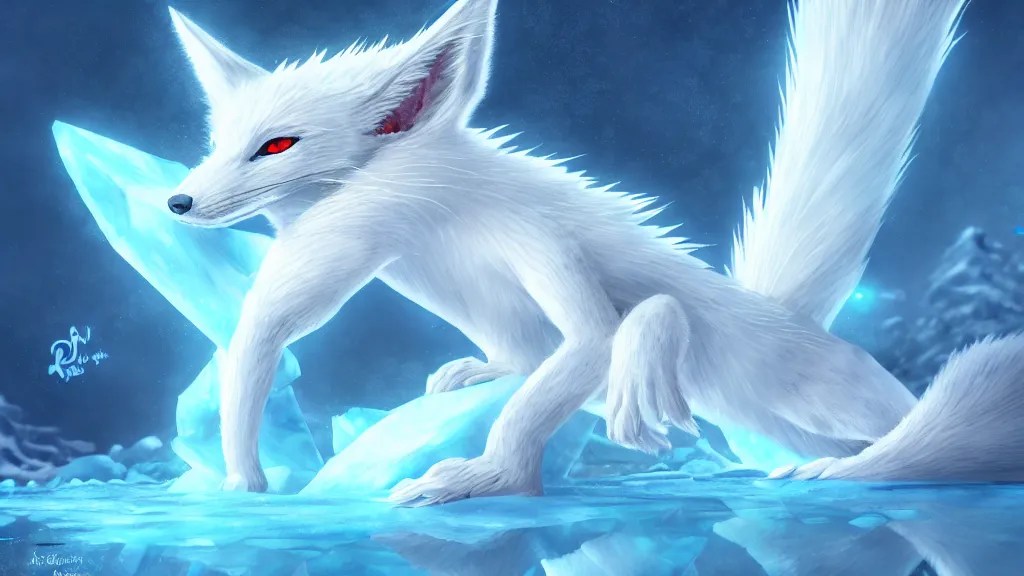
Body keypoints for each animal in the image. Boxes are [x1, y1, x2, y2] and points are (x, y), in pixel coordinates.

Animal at [162, 0, 1024, 504]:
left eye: (277, 146)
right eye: (216, 143)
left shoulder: (530, 240)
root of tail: (786, 317)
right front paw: (243, 477)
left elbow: (586, 344)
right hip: (755, 422)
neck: (426, 224)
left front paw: (488, 477)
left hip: (823, 398)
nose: (178, 203)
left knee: (914, 438)